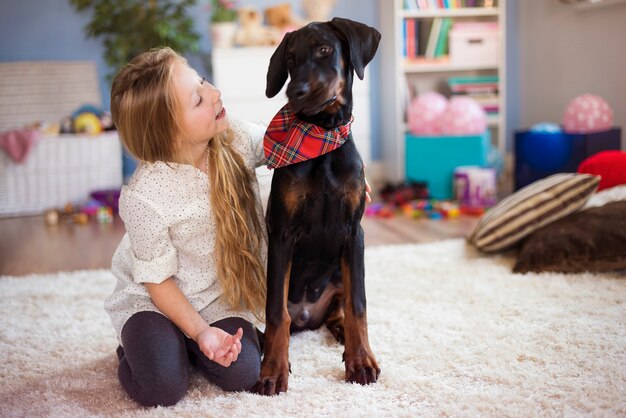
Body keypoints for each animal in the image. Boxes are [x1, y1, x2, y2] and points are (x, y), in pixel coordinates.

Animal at [254, 16, 380, 396]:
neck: (322, 137)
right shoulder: (282, 233)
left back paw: (343, 337)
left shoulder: (354, 233)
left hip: (338, 274)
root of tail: (307, 317)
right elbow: (276, 313)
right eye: (290, 59)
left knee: (340, 309)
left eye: (325, 49)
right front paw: (272, 370)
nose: (295, 91)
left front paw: (361, 360)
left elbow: (358, 304)